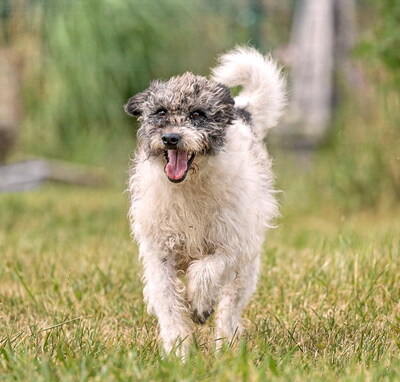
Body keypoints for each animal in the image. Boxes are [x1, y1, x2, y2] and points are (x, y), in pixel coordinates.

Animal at [124, 46, 284, 356]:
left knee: (230, 308)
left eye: (197, 113)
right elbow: (169, 303)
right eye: (161, 111)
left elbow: (207, 269)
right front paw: (178, 352)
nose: (171, 138)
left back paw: (226, 346)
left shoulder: (232, 246)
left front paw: (199, 305)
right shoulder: (159, 254)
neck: (189, 187)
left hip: (246, 270)